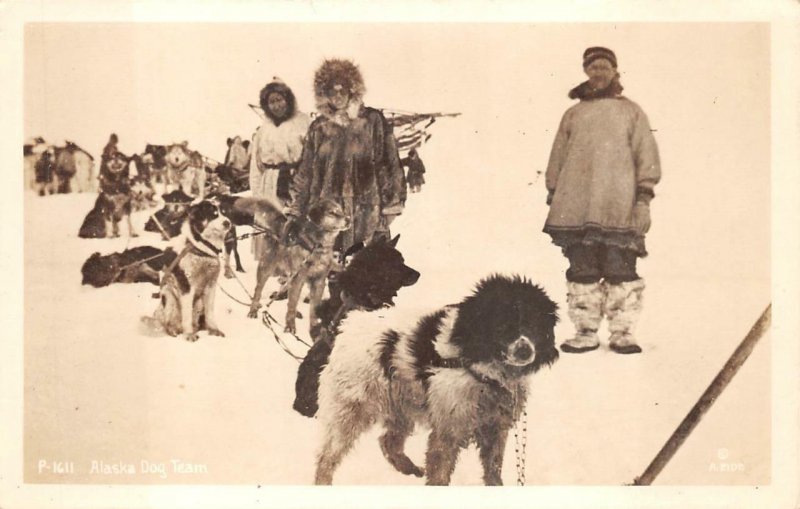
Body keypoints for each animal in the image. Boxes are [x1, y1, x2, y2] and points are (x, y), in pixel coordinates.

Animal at [141, 199, 231, 342]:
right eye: (213, 214)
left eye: (224, 213)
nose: (228, 222)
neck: (201, 249)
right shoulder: (187, 287)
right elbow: (187, 314)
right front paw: (189, 334)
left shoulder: (211, 286)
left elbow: (210, 313)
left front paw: (214, 330)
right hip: (169, 296)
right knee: (169, 323)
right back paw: (175, 331)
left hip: (198, 303)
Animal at [238, 196, 350, 336]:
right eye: (332, 212)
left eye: (341, 210)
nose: (349, 219)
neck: (317, 246)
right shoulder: (298, 278)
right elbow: (292, 304)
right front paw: (290, 327)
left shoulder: (318, 281)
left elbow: (313, 307)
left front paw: (314, 329)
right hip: (267, 269)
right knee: (258, 290)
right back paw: (253, 310)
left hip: (288, 273)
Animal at [310, 274, 556, 484]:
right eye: (502, 326)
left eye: (534, 325)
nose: (525, 351)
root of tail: (350, 324)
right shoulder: (449, 428)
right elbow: (440, 471)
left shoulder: (495, 427)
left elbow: (493, 469)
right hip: (349, 412)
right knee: (326, 457)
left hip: (402, 407)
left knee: (388, 442)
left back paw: (409, 469)